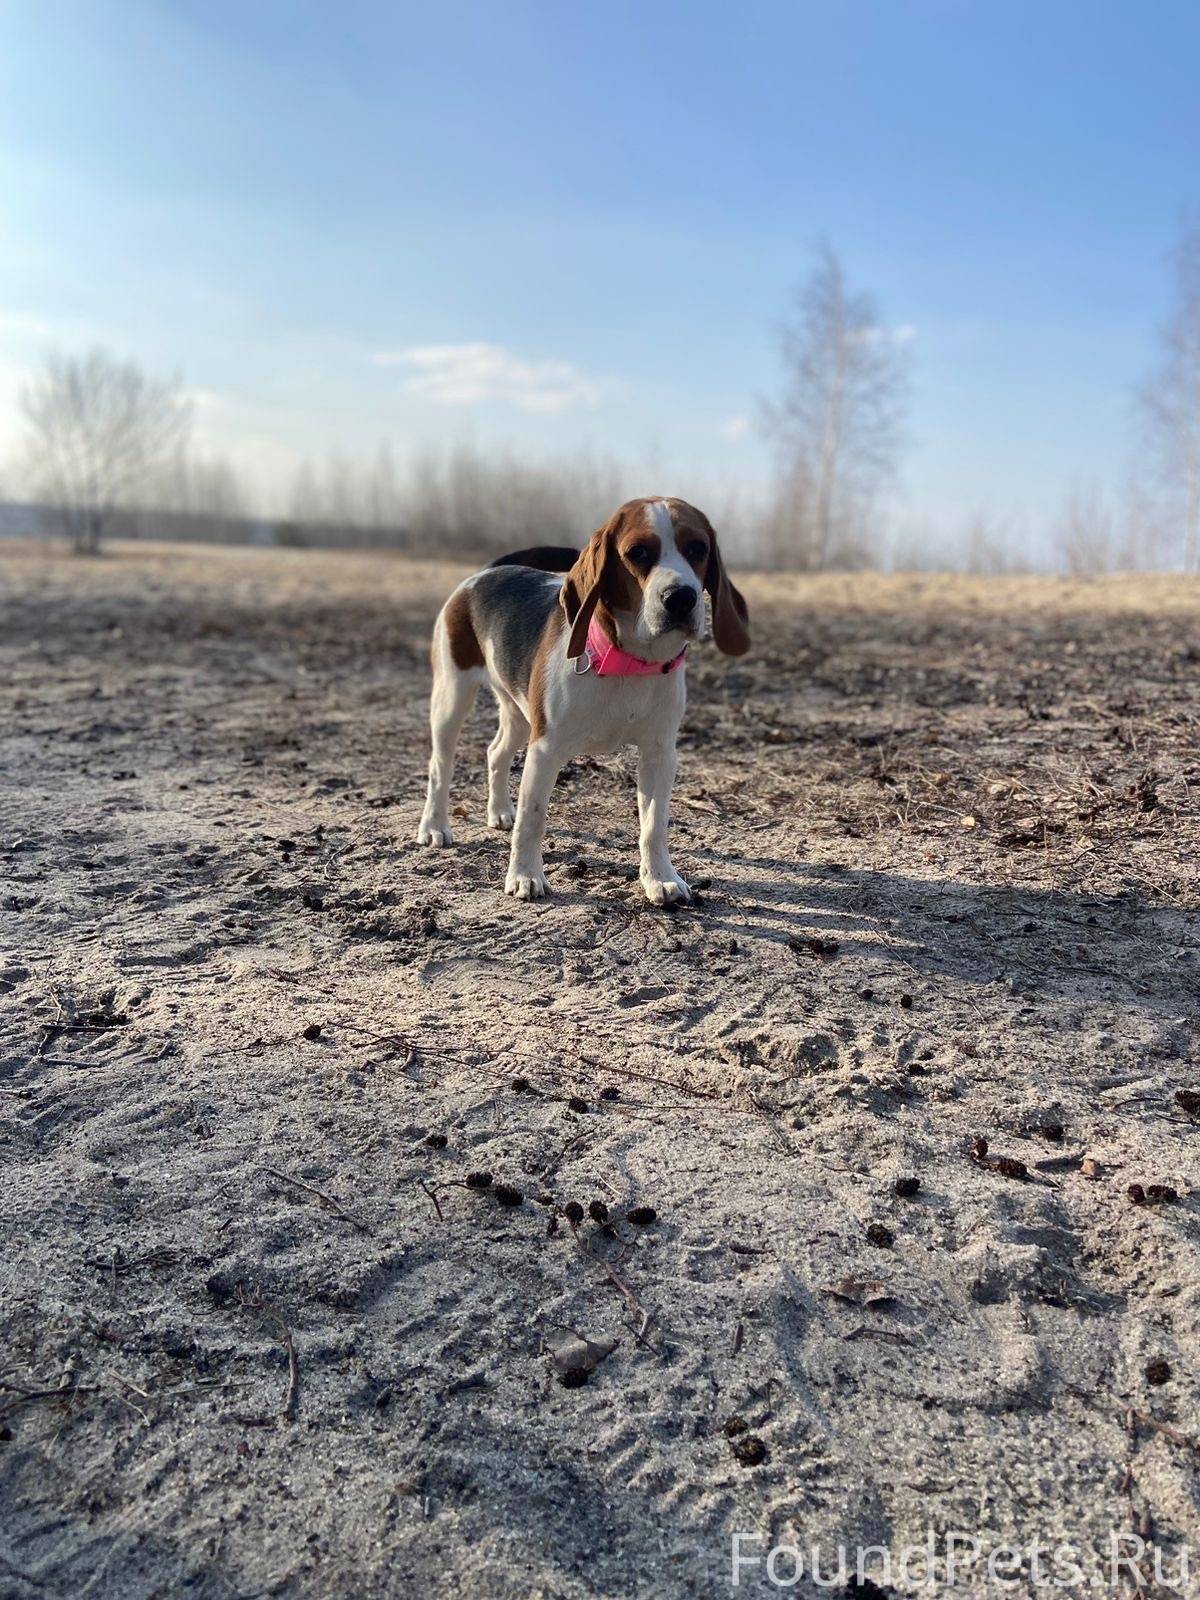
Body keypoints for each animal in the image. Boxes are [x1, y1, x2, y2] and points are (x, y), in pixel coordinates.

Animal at [419, 496, 748, 902]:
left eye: (698, 548)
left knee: (495, 752)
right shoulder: (545, 750)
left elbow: (654, 825)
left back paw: (499, 812)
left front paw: (660, 878)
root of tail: (481, 575)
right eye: (638, 552)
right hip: (452, 699)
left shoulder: (659, 755)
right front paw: (525, 875)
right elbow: (534, 818)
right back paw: (435, 825)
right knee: (440, 766)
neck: (628, 664)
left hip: (519, 714)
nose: (681, 597)